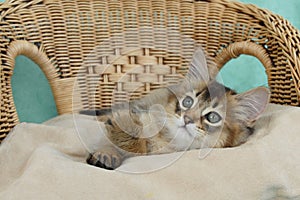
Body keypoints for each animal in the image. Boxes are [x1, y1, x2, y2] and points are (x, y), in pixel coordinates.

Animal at [79, 48, 270, 169]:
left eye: (213, 117)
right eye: (188, 102)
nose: (187, 119)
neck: (167, 142)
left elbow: (138, 149)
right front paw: (107, 152)